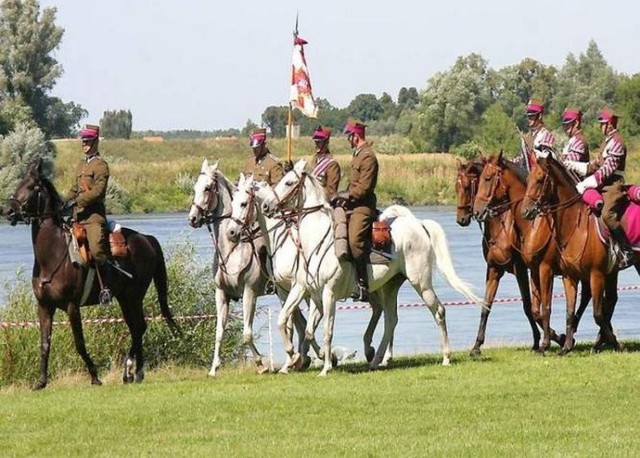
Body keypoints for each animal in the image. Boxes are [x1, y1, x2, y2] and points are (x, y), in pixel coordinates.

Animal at [3, 161, 179, 390]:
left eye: (32, 187)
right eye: (19, 183)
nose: (8, 211)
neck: (52, 255)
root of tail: (146, 239)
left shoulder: (72, 306)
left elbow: (79, 343)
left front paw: (95, 377)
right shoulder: (44, 306)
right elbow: (44, 343)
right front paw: (41, 382)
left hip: (134, 296)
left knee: (139, 326)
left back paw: (135, 370)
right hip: (124, 297)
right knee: (136, 327)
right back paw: (131, 373)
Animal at [456, 159, 540, 356]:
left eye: (467, 186)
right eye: (456, 187)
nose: (461, 219)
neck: (502, 226)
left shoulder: (520, 269)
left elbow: (528, 305)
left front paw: (541, 340)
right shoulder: (494, 269)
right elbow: (486, 306)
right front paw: (476, 346)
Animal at [470, 154, 592, 354]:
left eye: (487, 178)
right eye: (478, 181)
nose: (476, 211)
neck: (531, 226)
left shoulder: (538, 269)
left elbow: (538, 307)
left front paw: (547, 341)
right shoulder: (504, 269)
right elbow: (527, 308)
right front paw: (476, 346)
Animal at [524, 156, 624, 352]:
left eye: (539, 179)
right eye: (528, 179)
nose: (526, 211)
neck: (575, 228)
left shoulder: (594, 274)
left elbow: (597, 314)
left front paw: (616, 343)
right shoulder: (568, 276)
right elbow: (568, 311)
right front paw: (566, 346)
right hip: (612, 272)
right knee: (610, 300)